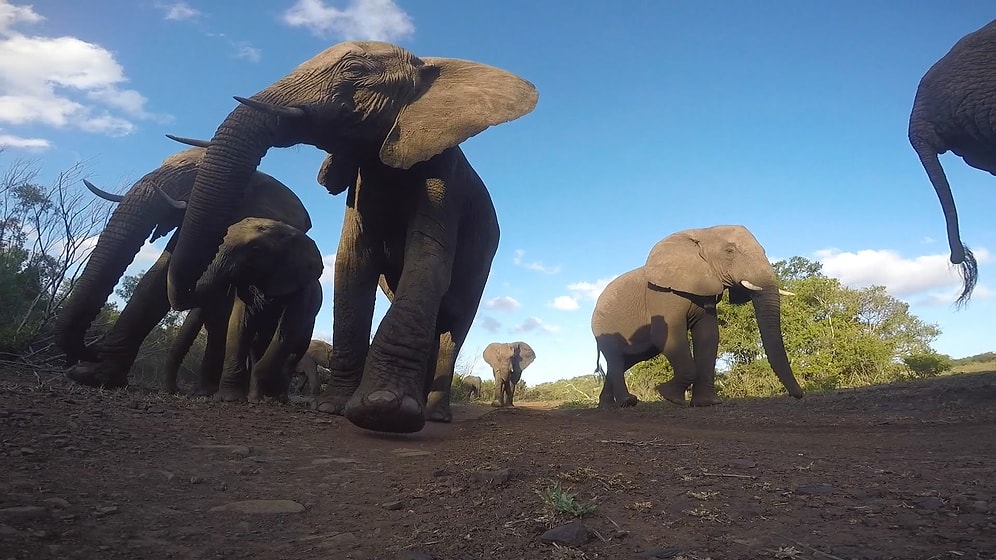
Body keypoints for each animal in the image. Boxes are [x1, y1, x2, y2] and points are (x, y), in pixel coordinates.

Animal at [164, 41, 540, 434]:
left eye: (355, 70)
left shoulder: (444, 178)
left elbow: (426, 261)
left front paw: (385, 410)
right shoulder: (360, 180)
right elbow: (352, 265)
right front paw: (333, 408)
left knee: (454, 326)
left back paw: (436, 415)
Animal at [588, 225, 804, 410]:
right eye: (729, 251)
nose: (797, 395)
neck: (702, 233)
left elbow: (709, 336)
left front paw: (706, 403)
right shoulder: (662, 294)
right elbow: (667, 334)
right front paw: (668, 394)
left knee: (624, 361)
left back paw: (607, 405)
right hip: (604, 326)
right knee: (616, 359)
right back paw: (627, 402)